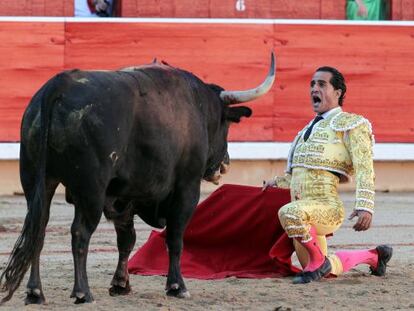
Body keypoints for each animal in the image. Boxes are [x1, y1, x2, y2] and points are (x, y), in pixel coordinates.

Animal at [1, 53, 276, 304]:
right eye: (225, 125)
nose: (226, 163)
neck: (197, 105)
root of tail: (59, 85)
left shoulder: (123, 196)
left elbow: (126, 239)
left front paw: (120, 284)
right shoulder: (186, 187)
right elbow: (175, 236)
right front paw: (177, 286)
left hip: (37, 180)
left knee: (38, 229)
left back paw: (35, 293)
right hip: (90, 189)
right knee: (80, 232)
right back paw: (82, 292)